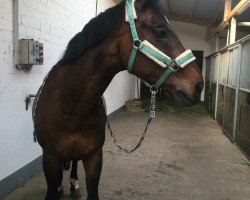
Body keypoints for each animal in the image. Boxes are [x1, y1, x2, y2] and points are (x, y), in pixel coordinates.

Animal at [32, 0, 203, 200]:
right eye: (161, 32)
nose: (199, 85)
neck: (72, 107)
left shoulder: (94, 157)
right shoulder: (50, 158)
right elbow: (53, 187)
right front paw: (58, 189)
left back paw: (74, 185)